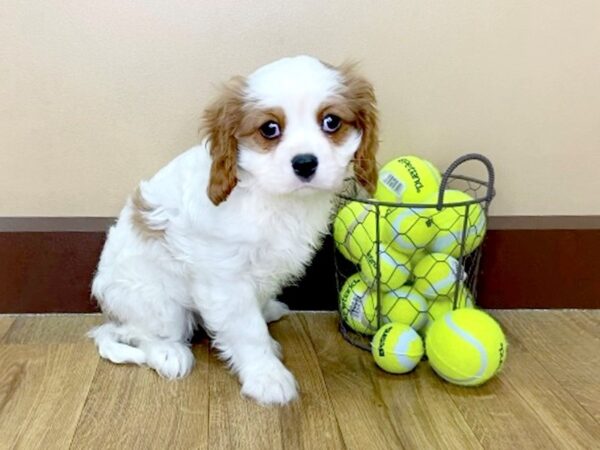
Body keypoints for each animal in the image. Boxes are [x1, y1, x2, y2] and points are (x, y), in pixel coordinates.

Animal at [88, 55, 378, 404]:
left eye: (332, 122)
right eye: (270, 129)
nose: (305, 163)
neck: (272, 196)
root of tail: (111, 313)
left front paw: (266, 319)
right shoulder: (225, 278)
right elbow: (248, 330)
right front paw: (266, 376)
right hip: (158, 303)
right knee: (141, 333)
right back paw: (168, 353)